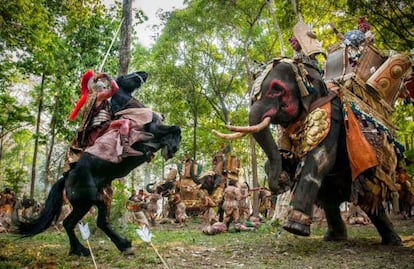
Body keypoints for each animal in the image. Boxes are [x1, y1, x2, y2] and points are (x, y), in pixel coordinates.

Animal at [16, 71, 181, 255]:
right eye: (126, 76)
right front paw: (172, 147)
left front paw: (169, 147)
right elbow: (175, 128)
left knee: (91, 222)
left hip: (98, 200)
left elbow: (171, 132)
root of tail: (66, 178)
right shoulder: (152, 130)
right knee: (74, 222)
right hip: (87, 202)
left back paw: (108, 247)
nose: (143, 74)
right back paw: (88, 248)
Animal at [215, 58, 402, 245]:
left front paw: (293, 228)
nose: (280, 187)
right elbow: (288, 158)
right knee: (331, 201)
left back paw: (393, 241)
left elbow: (320, 159)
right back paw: (335, 237)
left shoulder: (332, 117)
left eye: (276, 89)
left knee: (368, 201)